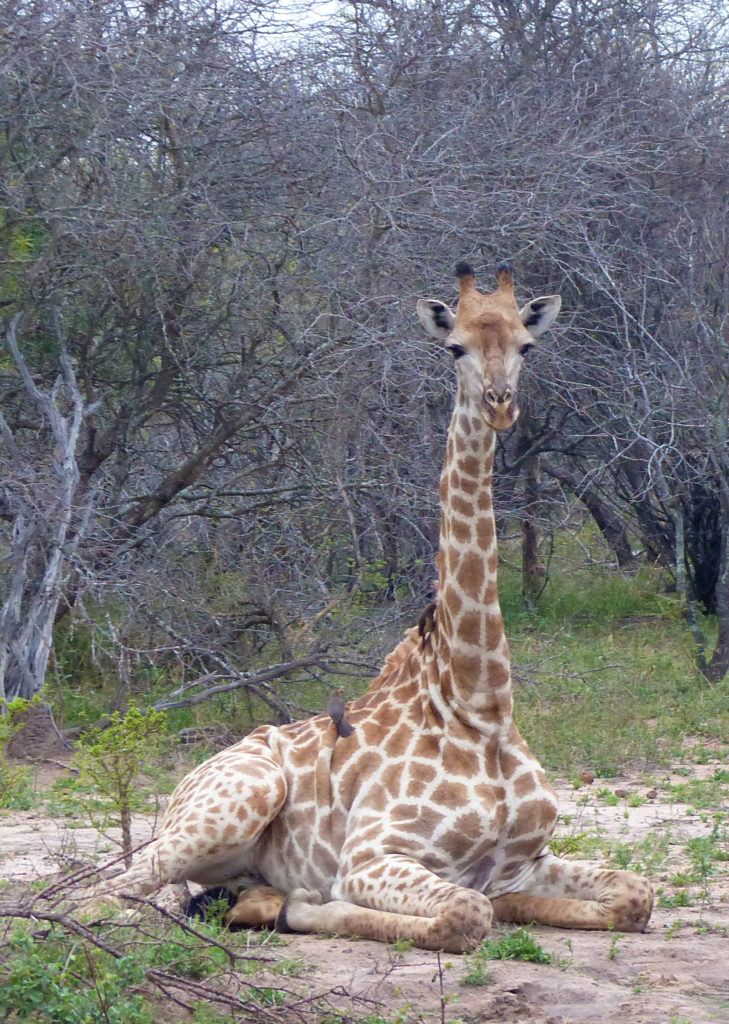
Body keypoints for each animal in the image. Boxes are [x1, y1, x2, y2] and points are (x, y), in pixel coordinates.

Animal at [84, 262, 653, 952]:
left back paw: (249, 899)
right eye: (453, 346)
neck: (481, 706)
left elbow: (632, 896)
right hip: (242, 795)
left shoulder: (526, 861)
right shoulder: (370, 857)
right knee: (104, 897)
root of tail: (186, 781)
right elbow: (466, 914)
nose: (500, 405)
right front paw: (309, 905)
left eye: (527, 346)